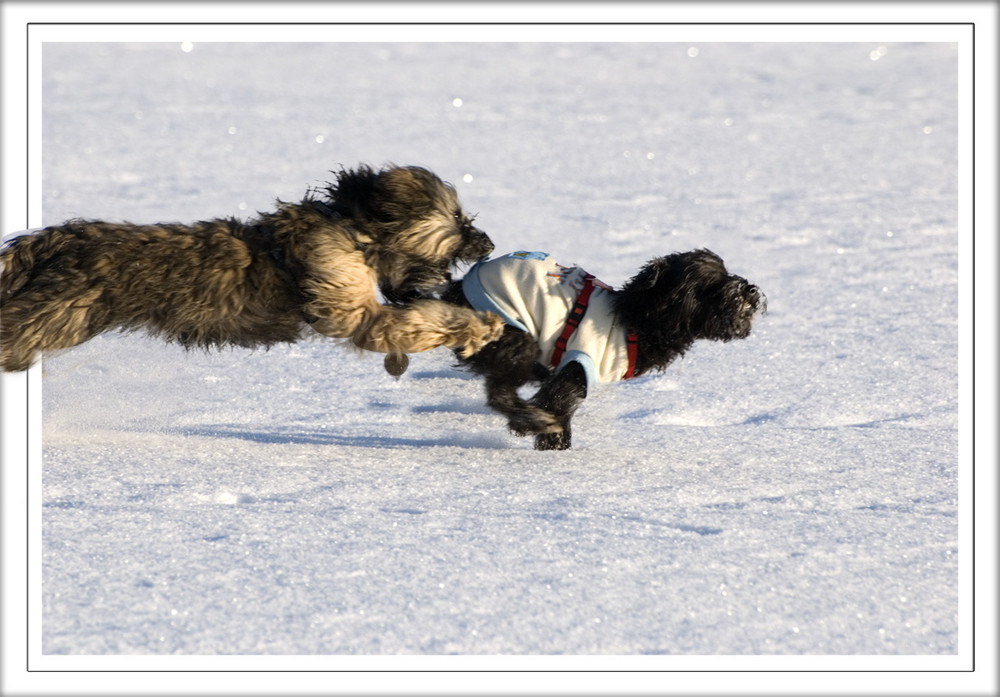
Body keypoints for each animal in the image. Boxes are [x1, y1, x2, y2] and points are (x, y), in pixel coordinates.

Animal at [0, 164, 500, 372]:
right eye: (458, 218)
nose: (488, 242)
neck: (352, 228)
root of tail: (53, 241)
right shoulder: (354, 311)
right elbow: (417, 320)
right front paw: (479, 326)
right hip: (59, 314)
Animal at [436, 247, 764, 448]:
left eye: (726, 271)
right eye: (711, 283)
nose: (749, 289)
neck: (634, 321)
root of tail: (457, 291)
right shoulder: (576, 369)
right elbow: (557, 411)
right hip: (515, 336)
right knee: (500, 394)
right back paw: (530, 419)